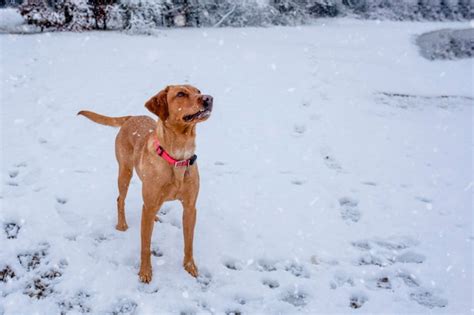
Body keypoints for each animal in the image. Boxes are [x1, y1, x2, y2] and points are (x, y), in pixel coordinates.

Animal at [78, 84, 213, 284]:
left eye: (198, 91)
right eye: (181, 94)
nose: (208, 98)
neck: (177, 157)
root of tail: (130, 117)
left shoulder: (190, 208)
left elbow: (189, 242)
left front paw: (190, 267)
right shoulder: (148, 206)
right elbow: (145, 245)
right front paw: (145, 272)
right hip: (125, 172)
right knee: (120, 199)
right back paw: (122, 225)